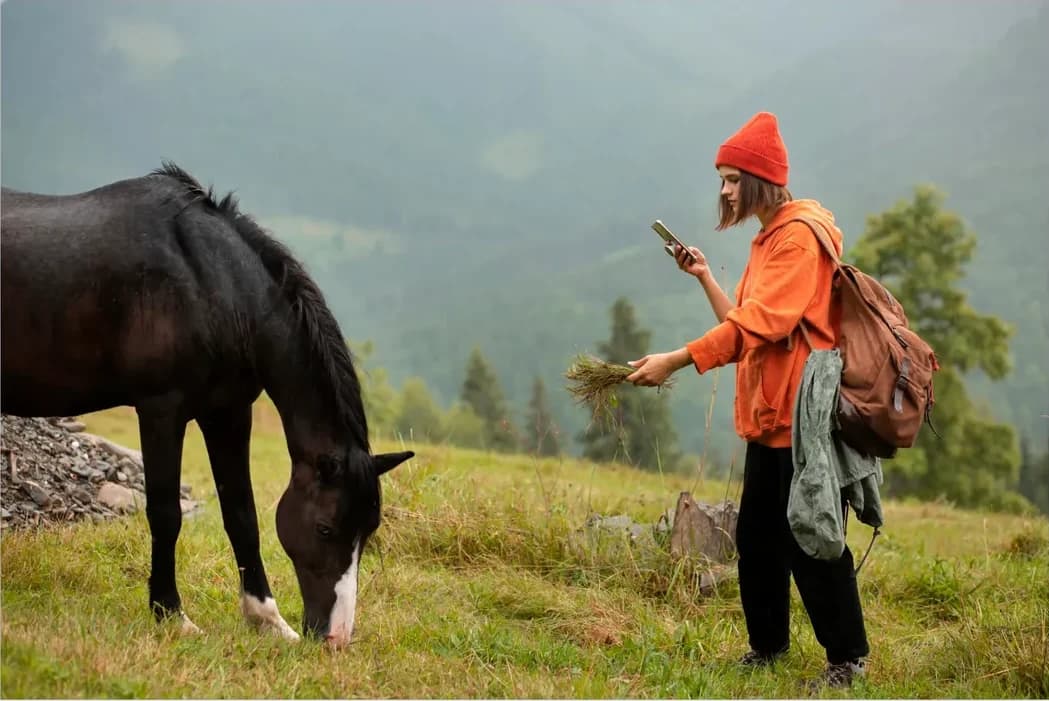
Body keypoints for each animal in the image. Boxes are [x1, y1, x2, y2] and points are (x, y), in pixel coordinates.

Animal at [0, 163, 413, 647]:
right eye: (325, 528)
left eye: (369, 531)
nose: (336, 637)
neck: (209, 283)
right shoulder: (161, 412)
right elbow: (165, 514)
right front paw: (170, 613)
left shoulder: (228, 413)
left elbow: (241, 515)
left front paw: (267, 620)